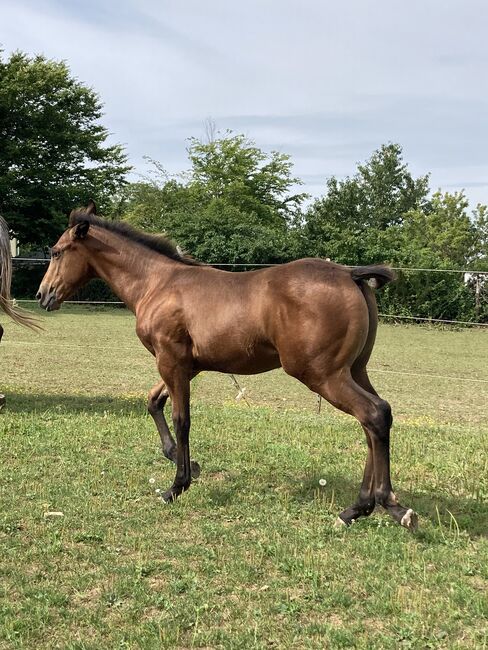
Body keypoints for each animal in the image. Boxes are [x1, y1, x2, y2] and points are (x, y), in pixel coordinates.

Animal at [37, 200, 416, 528]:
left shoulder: (171, 362)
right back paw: (367, 507)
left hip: (322, 374)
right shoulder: (185, 365)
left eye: (56, 251)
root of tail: (351, 274)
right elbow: (153, 403)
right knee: (374, 421)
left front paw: (176, 486)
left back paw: (382, 506)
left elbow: (182, 419)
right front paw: (187, 463)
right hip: (355, 370)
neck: (157, 284)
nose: (43, 295)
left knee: (374, 414)